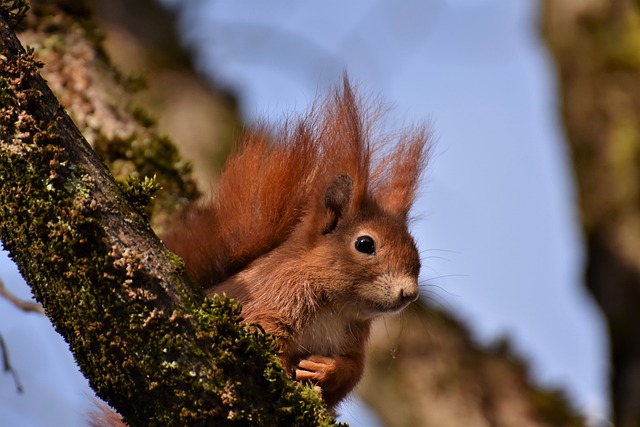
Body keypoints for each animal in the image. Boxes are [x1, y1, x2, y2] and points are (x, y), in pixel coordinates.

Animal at [92, 77, 428, 424]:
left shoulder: (354, 340)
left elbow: (350, 372)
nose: (409, 293)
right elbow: (264, 334)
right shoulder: (273, 297)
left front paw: (325, 369)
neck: (336, 308)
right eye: (365, 244)